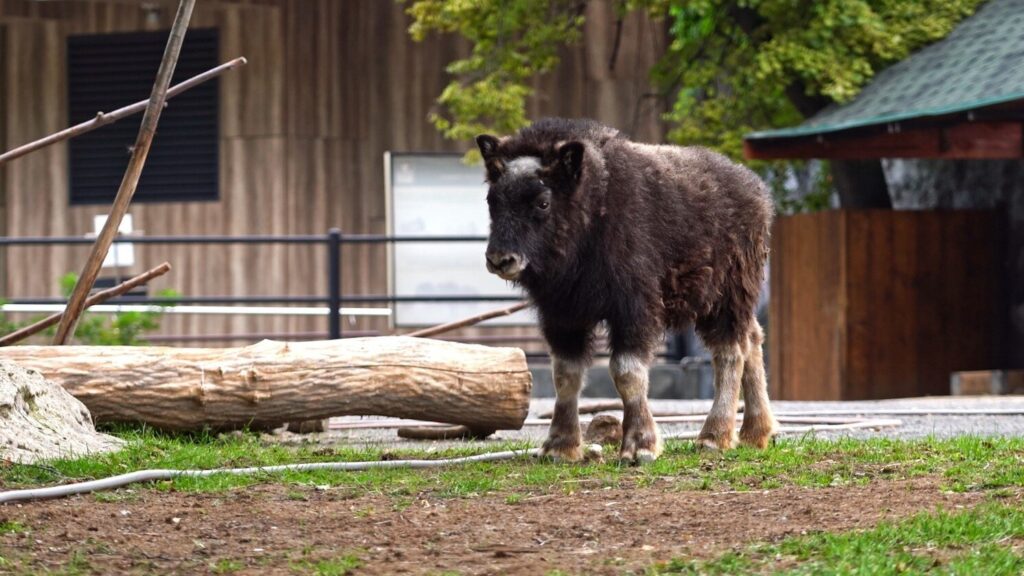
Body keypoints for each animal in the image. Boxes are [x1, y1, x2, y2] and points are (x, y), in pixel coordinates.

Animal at [477, 116, 774, 461]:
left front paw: (639, 446)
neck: (593, 210)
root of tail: (756, 190)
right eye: (492, 200)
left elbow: (626, 372)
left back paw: (713, 436)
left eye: (542, 202)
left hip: (727, 296)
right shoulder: (562, 315)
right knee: (752, 338)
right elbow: (565, 375)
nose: (500, 259)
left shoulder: (634, 308)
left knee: (730, 353)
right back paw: (755, 433)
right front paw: (559, 446)